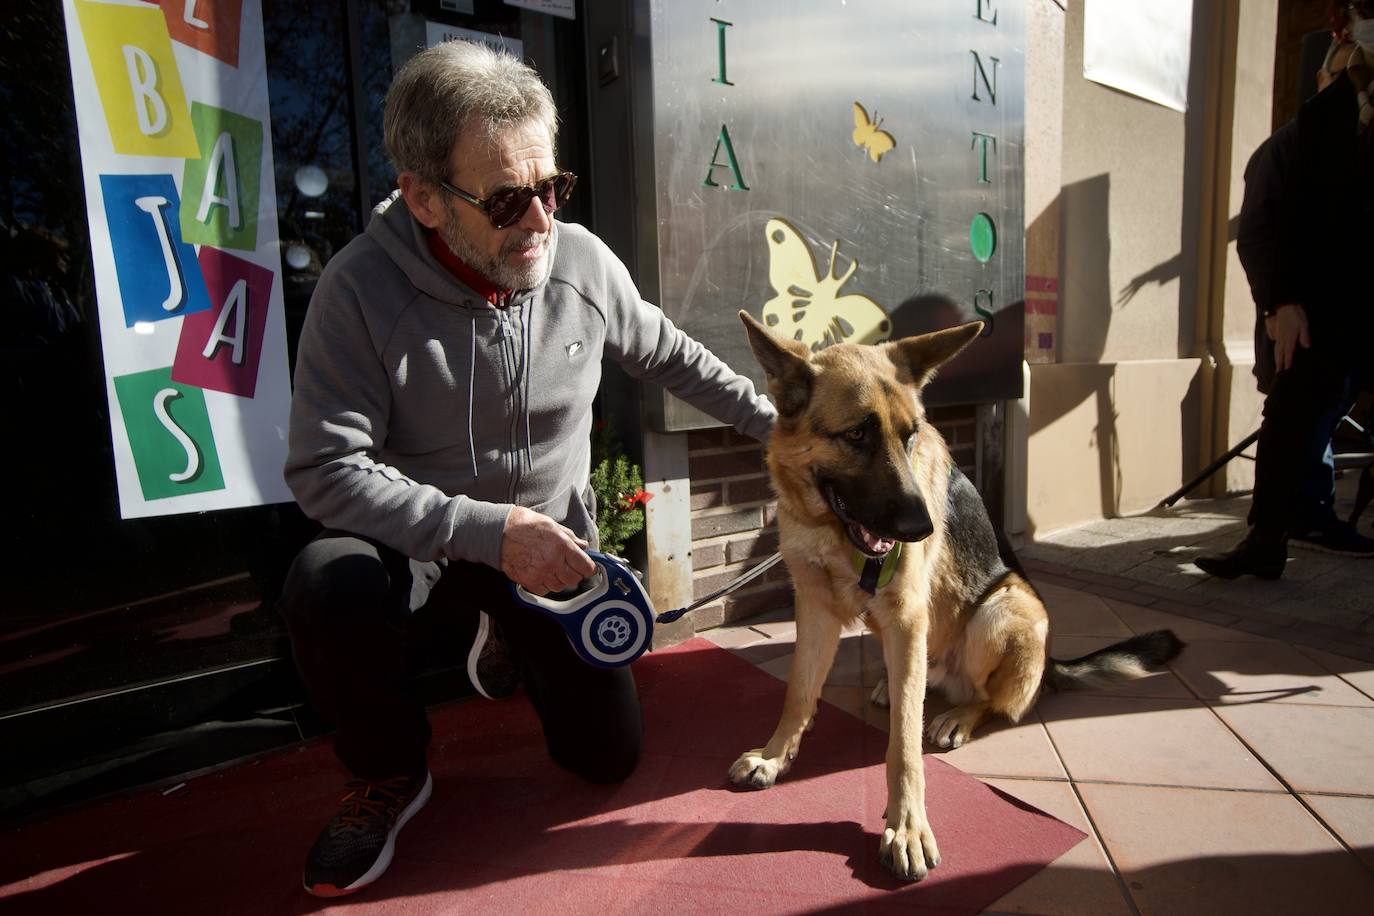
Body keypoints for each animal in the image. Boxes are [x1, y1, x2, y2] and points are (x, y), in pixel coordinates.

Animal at [730, 313, 1181, 878]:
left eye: (910, 435)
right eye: (856, 434)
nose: (922, 529)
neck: (831, 529)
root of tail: (1051, 663)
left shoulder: (906, 617)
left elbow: (902, 744)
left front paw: (907, 827)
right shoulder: (813, 609)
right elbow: (798, 693)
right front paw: (775, 755)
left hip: (1006, 609)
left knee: (1002, 702)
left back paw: (958, 716)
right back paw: (896, 685)